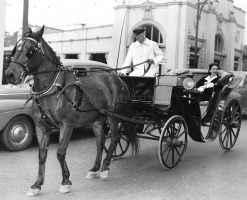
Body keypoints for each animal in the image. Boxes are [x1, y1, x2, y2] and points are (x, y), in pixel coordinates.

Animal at [4, 25, 139, 197]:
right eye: (17, 49)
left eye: (30, 50)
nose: (9, 74)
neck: (54, 89)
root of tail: (118, 78)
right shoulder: (41, 127)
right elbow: (42, 155)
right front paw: (37, 184)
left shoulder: (67, 125)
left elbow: (60, 153)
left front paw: (66, 181)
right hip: (98, 120)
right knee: (100, 141)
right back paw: (95, 168)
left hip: (113, 117)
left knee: (114, 138)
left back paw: (104, 167)